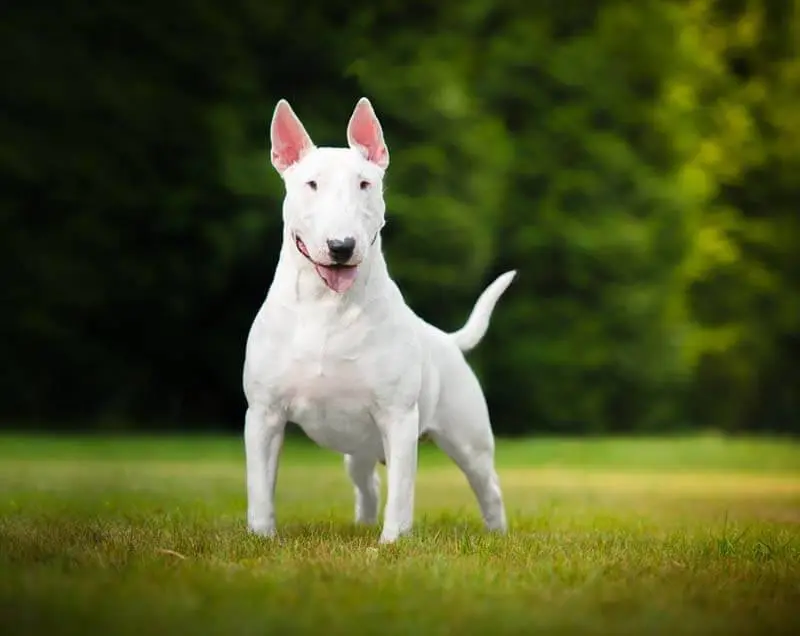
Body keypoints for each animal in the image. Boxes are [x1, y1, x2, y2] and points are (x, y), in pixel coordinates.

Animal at [244, 97, 516, 544]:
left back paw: (497, 534)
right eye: (311, 184)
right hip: (357, 449)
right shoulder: (263, 414)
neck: (326, 306)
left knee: (487, 484)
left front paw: (391, 543)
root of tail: (446, 339)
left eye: (365, 184)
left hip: (467, 437)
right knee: (367, 483)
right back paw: (361, 524)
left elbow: (403, 490)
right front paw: (261, 537)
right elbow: (260, 485)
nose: (342, 246)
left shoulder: (399, 416)